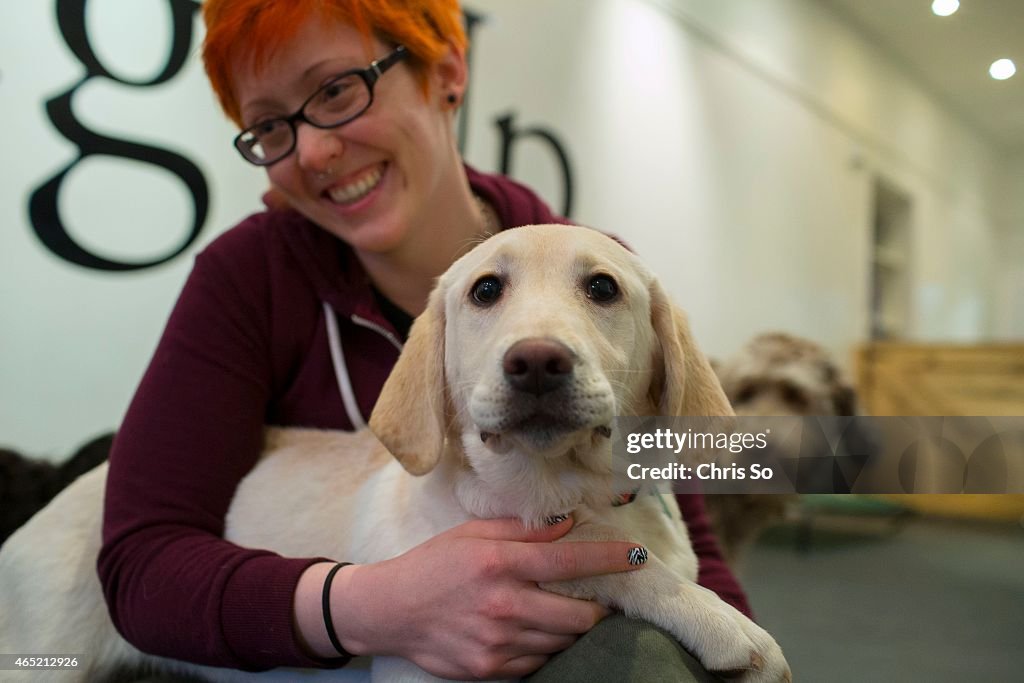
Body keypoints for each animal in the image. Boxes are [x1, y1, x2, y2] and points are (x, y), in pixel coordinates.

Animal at [0, 225, 786, 683]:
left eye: (603, 288)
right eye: (485, 290)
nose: (535, 362)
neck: (560, 489)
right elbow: (617, 563)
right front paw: (725, 623)